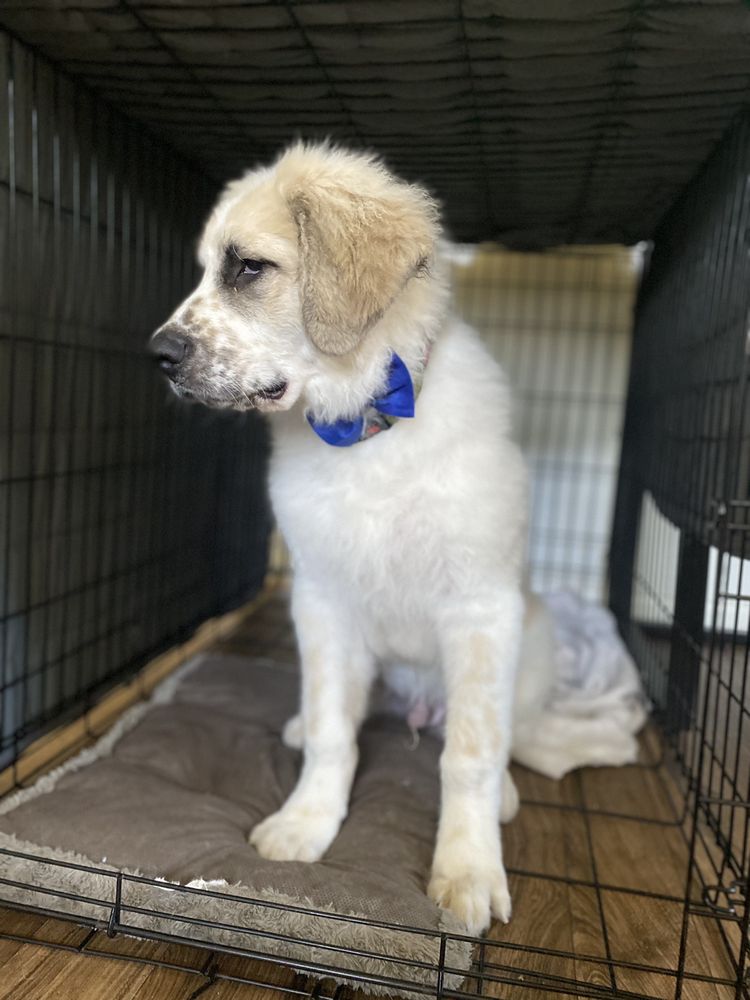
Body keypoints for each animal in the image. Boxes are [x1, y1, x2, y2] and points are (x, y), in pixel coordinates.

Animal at [149, 142, 556, 935]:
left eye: (248, 267)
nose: (157, 354)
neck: (364, 432)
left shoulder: (482, 608)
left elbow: (471, 752)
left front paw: (467, 868)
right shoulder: (321, 602)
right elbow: (335, 729)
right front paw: (306, 822)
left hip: (534, 636)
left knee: (494, 733)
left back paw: (504, 795)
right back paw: (300, 727)